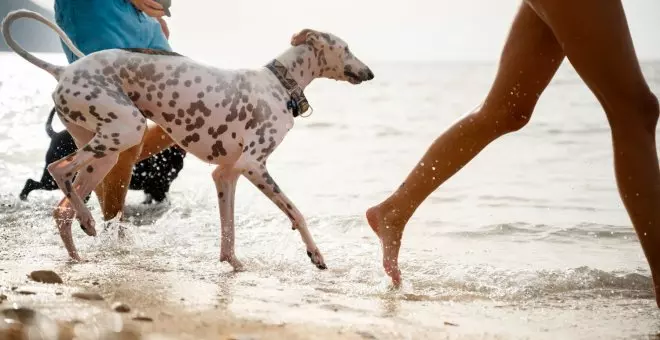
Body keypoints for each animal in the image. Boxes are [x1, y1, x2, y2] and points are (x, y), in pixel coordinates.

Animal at [20, 107, 186, 203]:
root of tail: (55, 135)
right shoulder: (159, 185)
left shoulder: (155, 188)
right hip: (52, 181)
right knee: (31, 182)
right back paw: (23, 197)